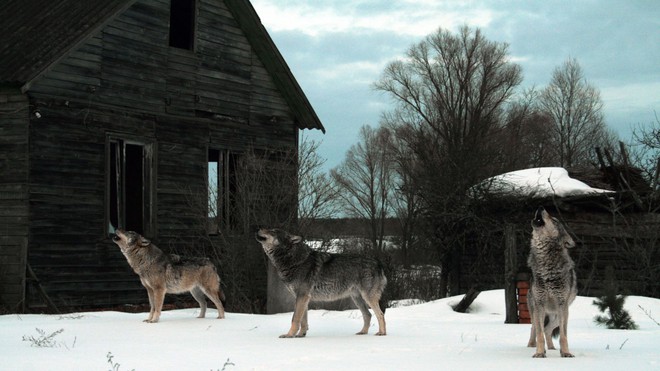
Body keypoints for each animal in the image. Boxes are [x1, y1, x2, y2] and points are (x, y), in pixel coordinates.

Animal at [253, 228, 386, 338]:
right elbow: (303, 320)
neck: (294, 260)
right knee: (368, 315)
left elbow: (295, 319)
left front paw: (289, 335)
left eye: (273, 231)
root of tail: (378, 262)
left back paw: (382, 333)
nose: (258, 229)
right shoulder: (302, 298)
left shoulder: (302, 296)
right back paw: (363, 332)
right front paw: (301, 335)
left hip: (367, 298)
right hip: (357, 299)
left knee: (380, 314)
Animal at [524, 208, 576, 358]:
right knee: (535, 328)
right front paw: (539, 353)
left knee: (548, 329)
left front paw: (566, 353)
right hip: (536, 311)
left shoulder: (562, 305)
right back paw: (532, 345)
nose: (541, 207)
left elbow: (563, 335)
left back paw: (553, 348)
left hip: (560, 315)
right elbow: (539, 334)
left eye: (554, 220)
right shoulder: (539, 304)